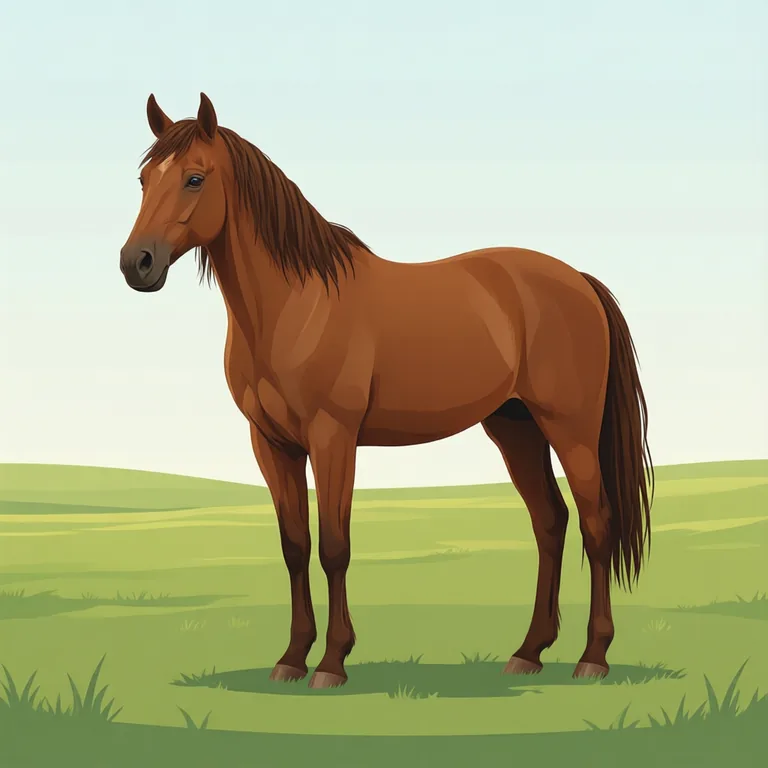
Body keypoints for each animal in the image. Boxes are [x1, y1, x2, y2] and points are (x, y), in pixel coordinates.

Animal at [119, 92, 654, 689]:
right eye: (143, 179)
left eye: (194, 178)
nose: (136, 264)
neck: (294, 305)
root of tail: (579, 280)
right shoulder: (271, 443)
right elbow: (294, 546)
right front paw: (291, 658)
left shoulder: (333, 437)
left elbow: (334, 546)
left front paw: (332, 663)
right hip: (515, 428)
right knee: (550, 524)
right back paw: (529, 652)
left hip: (571, 428)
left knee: (595, 523)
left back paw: (593, 657)